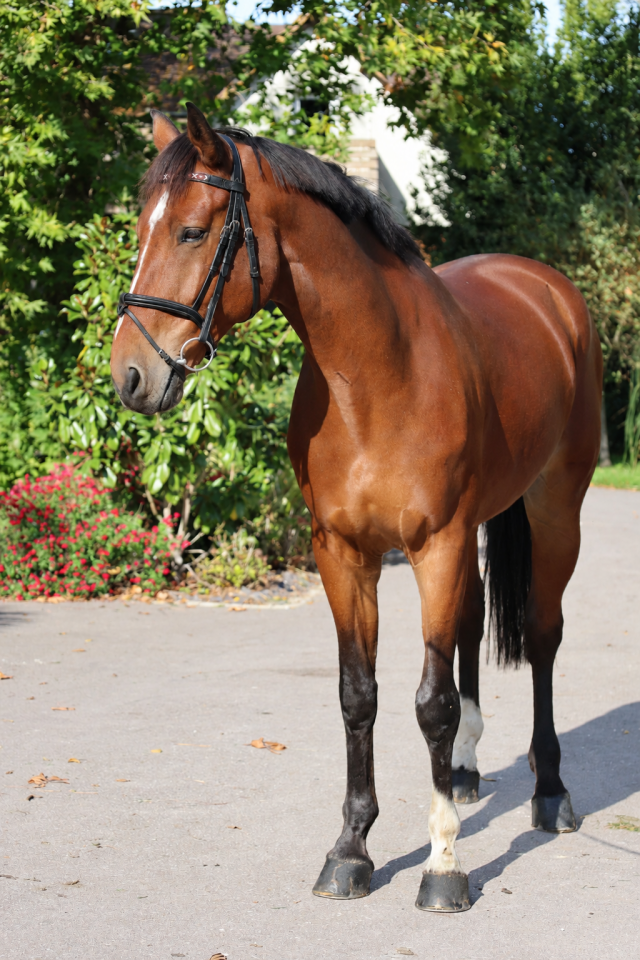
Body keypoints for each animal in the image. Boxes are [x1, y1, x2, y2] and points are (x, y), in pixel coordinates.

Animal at [110, 103, 602, 913]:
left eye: (191, 231)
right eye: (141, 228)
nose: (131, 374)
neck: (376, 375)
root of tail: (547, 288)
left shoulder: (435, 545)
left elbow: (429, 701)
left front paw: (443, 865)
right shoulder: (342, 552)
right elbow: (358, 694)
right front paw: (350, 850)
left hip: (556, 507)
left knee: (541, 635)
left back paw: (552, 792)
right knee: (472, 627)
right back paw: (465, 772)